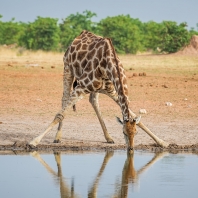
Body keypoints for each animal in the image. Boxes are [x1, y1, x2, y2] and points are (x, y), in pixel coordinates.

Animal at [29, 30, 169, 151]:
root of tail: (80, 34)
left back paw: (108, 138)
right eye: (123, 132)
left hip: (97, 88)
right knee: (64, 98)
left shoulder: (113, 91)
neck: (108, 65)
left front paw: (162, 142)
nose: (130, 149)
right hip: (67, 68)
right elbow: (60, 114)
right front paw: (34, 142)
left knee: (93, 101)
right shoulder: (81, 87)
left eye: (136, 132)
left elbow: (134, 116)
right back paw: (57, 137)